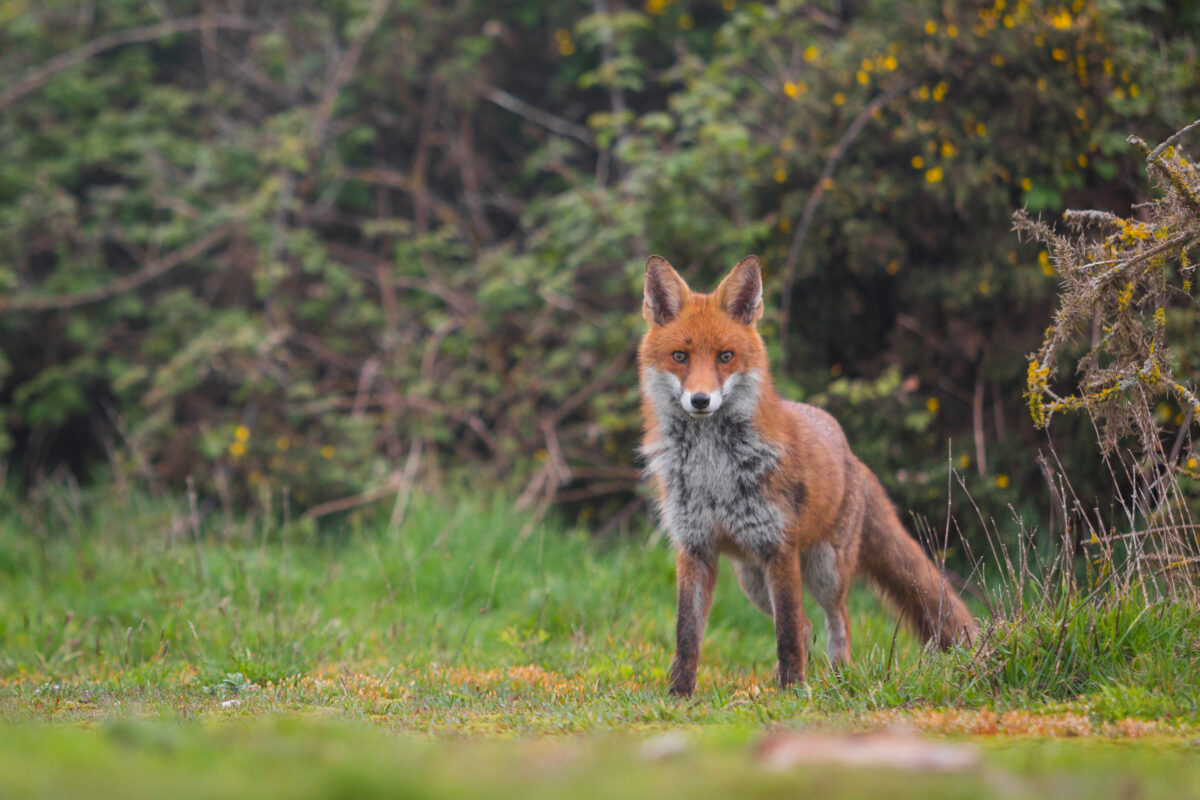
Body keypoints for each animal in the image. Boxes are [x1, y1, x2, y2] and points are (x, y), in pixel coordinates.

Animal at [639, 254, 978, 697]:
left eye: (725, 356)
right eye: (680, 356)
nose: (700, 400)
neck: (714, 469)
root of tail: (851, 453)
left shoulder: (778, 546)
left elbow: (785, 632)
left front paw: (792, 692)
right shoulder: (695, 547)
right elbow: (687, 634)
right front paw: (679, 694)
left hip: (824, 570)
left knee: (837, 619)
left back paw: (838, 677)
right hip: (752, 580)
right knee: (805, 623)